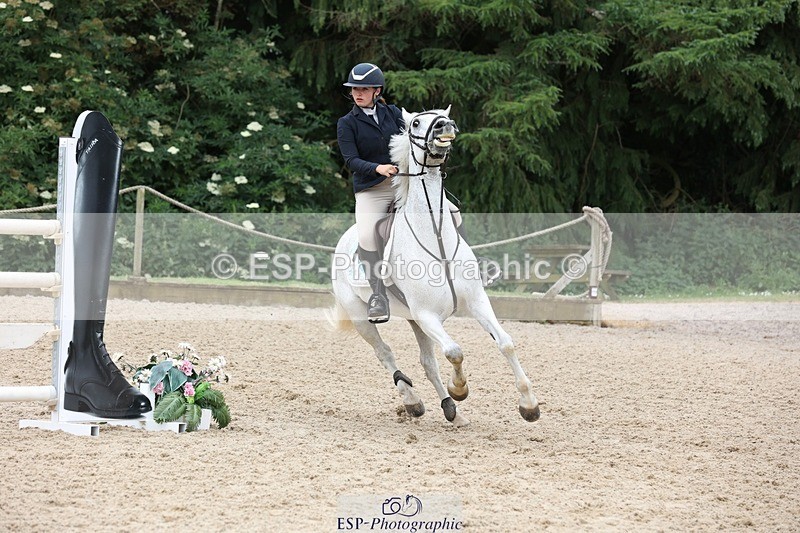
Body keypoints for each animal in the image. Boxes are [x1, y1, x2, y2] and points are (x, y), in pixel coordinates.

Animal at [329, 106, 540, 427]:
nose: (445, 126)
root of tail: (343, 240)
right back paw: (414, 401)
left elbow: (505, 343)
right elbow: (454, 351)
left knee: (427, 362)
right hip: (362, 317)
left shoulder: (475, 302)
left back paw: (451, 411)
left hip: (413, 320)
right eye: (416, 122)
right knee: (385, 353)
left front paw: (529, 405)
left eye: (443, 114)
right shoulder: (427, 315)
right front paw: (460, 389)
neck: (435, 237)